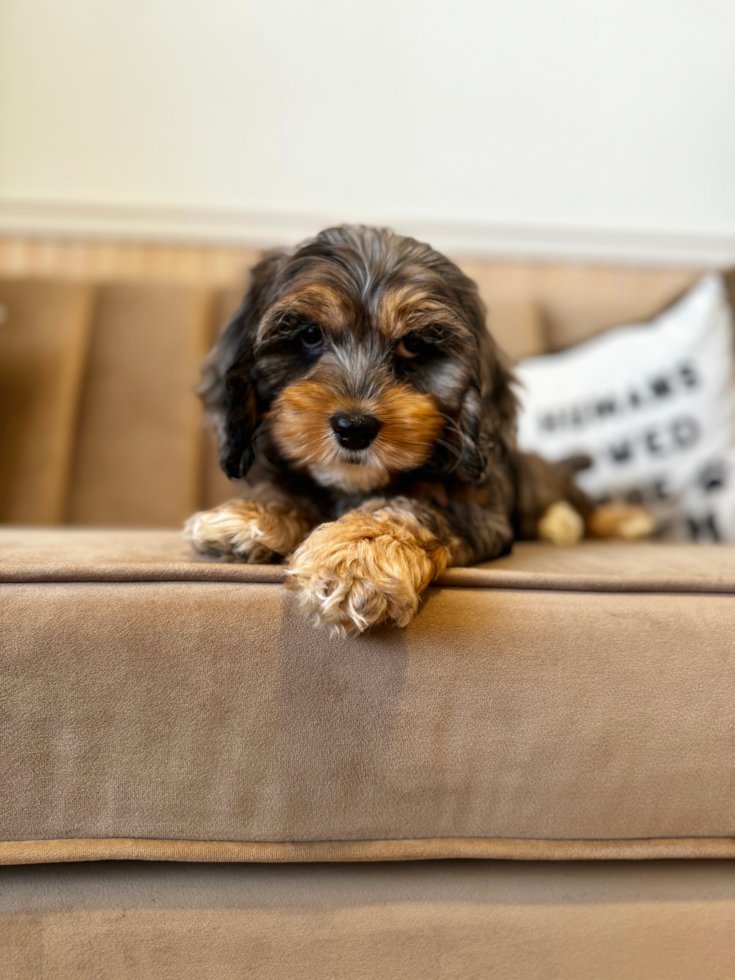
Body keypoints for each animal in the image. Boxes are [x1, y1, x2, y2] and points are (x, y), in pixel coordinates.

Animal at [187, 226, 652, 632]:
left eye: (413, 344)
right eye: (310, 335)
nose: (354, 427)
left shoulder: (476, 511)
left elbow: (407, 508)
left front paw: (355, 556)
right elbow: (291, 487)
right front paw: (249, 515)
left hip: (544, 482)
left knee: (581, 505)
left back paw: (614, 521)